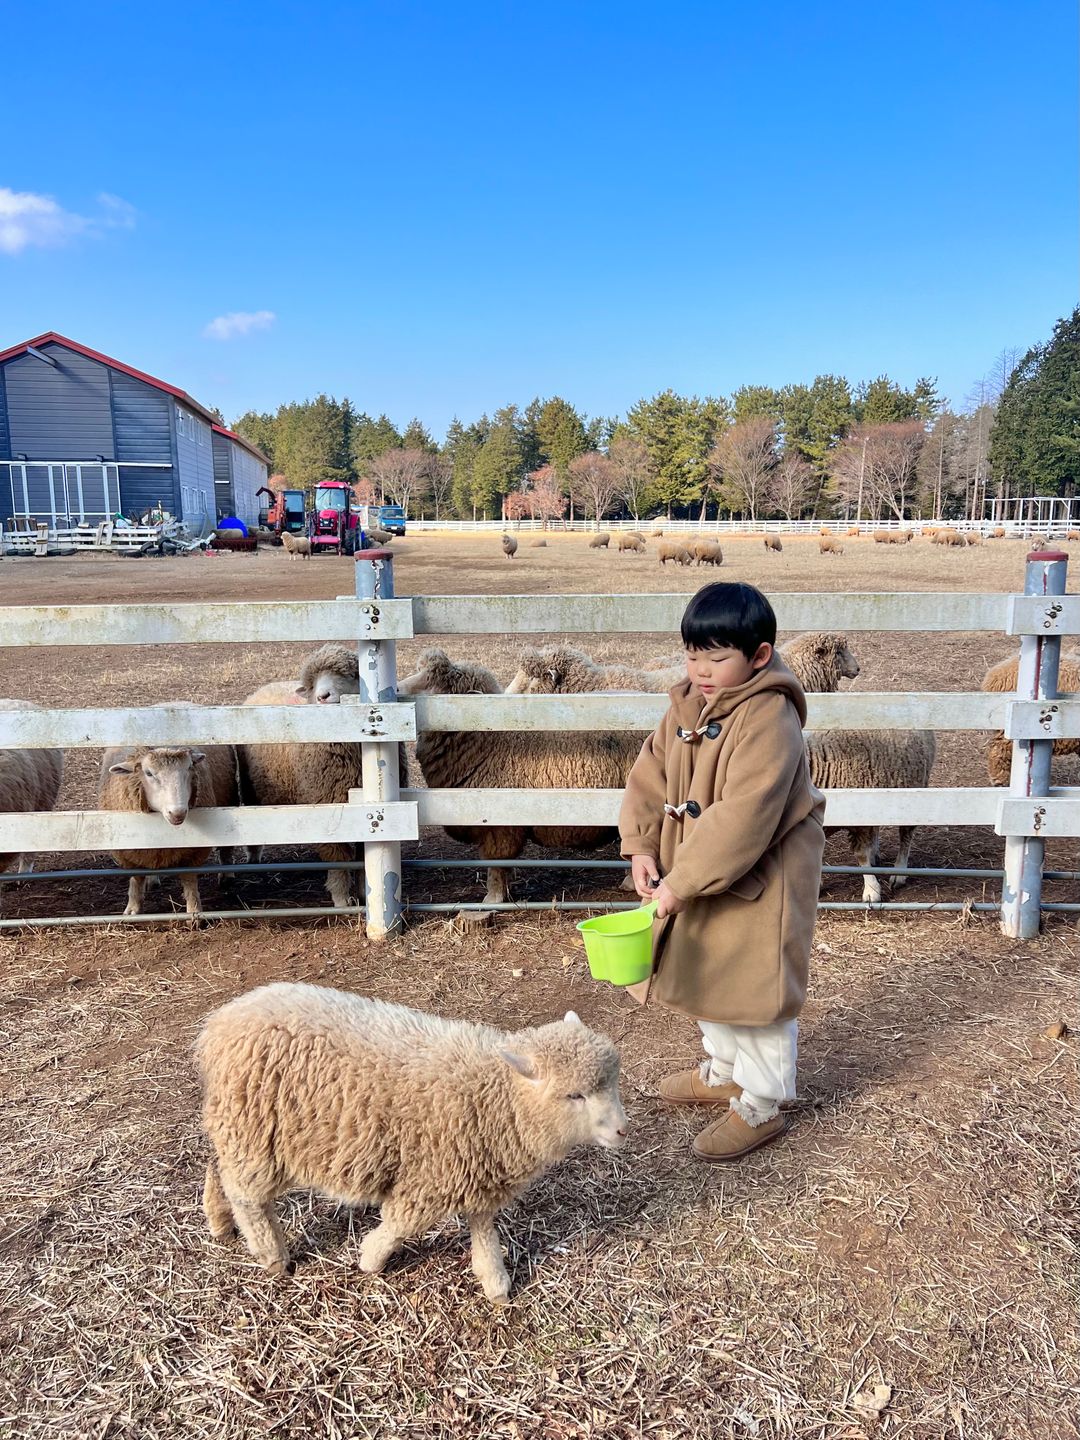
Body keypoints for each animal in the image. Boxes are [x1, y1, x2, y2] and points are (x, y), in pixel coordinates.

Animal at [98, 714, 240, 915]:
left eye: (189, 768)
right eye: (148, 773)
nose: (178, 813)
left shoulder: (193, 851)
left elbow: (189, 881)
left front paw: (194, 910)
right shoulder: (128, 852)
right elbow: (136, 878)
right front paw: (132, 909)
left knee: (226, 848)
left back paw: (227, 874)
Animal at [198, 990, 630, 1307]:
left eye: (611, 1081)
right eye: (574, 1095)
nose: (623, 1130)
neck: (495, 1097)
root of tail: (221, 1023)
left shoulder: (475, 1172)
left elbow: (484, 1231)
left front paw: (496, 1284)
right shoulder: (430, 1179)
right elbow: (401, 1224)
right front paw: (369, 1259)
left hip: (240, 1129)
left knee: (220, 1170)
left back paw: (219, 1221)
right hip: (254, 1131)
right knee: (248, 1196)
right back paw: (272, 1256)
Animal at [403, 650, 648, 898]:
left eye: (436, 685)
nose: (399, 689)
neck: (489, 740)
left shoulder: (498, 824)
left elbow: (495, 863)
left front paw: (494, 897)